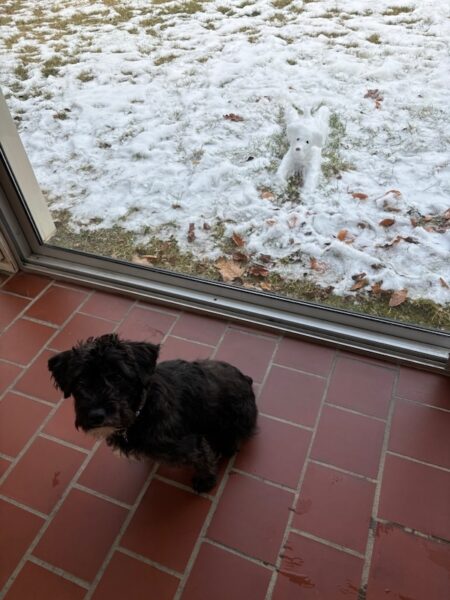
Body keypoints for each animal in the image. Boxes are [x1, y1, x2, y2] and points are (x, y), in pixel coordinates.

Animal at [48, 333, 257, 493]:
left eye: (117, 376)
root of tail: (247, 380)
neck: (141, 411)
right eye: (80, 381)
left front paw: (205, 481)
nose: (96, 415)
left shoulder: (190, 443)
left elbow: (202, 459)